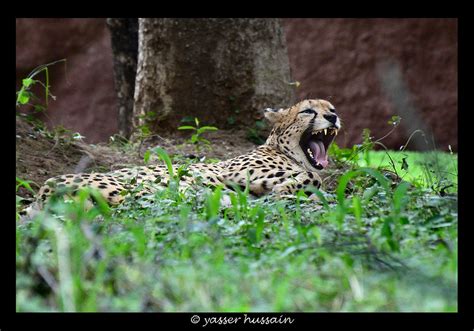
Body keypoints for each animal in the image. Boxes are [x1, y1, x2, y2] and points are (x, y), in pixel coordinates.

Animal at [37, 99, 340, 208]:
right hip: (135, 187)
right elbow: (313, 179)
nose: (333, 116)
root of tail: (44, 187)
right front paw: (283, 190)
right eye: (308, 111)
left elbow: (316, 181)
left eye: (331, 107)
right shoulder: (236, 172)